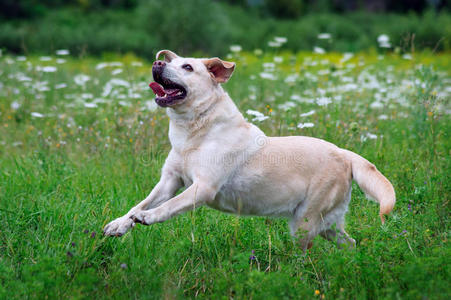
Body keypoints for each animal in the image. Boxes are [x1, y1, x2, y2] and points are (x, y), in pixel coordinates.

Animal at [104, 49, 398, 250]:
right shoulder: (169, 181)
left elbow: (167, 206)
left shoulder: (203, 187)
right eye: (168, 62)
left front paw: (147, 217)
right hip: (326, 223)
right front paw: (120, 223)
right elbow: (140, 202)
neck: (194, 131)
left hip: (304, 222)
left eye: (187, 67)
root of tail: (346, 154)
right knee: (349, 243)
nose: (157, 63)